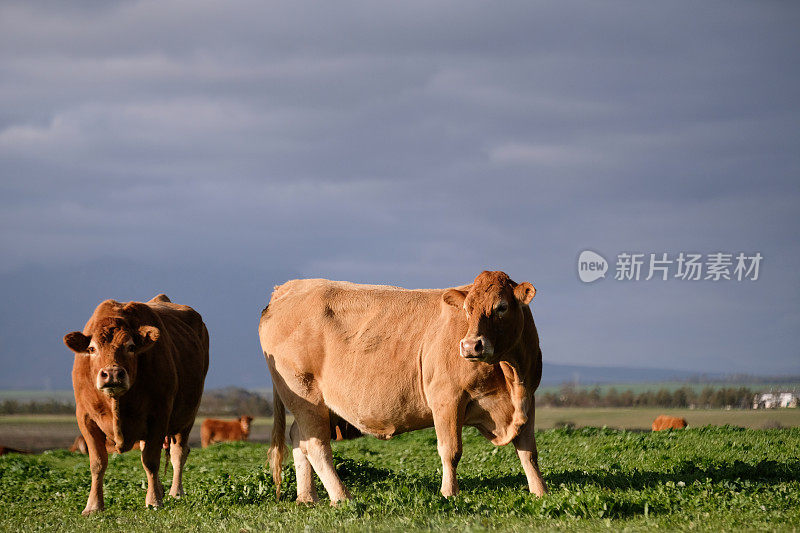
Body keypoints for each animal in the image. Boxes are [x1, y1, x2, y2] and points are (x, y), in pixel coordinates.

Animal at [63, 294, 209, 512]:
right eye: (92, 348)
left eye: (131, 347)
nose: (112, 373)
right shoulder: (85, 418)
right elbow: (97, 463)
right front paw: (93, 505)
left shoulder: (159, 415)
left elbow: (151, 460)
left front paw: (153, 501)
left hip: (187, 415)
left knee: (178, 453)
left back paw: (175, 492)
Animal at [260, 270, 548, 502]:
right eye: (467, 309)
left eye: (502, 307)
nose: (470, 346)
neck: (512, 377)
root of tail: (287, 288)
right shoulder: (446, 398)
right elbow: (451, 450)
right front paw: (449, 494)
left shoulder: (528, 400)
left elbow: (529, 452)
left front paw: (540, 492)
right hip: (304, 396)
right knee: (316, 445)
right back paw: (341, 497)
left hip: (314, 405)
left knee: (299, 438)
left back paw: (307, 498)